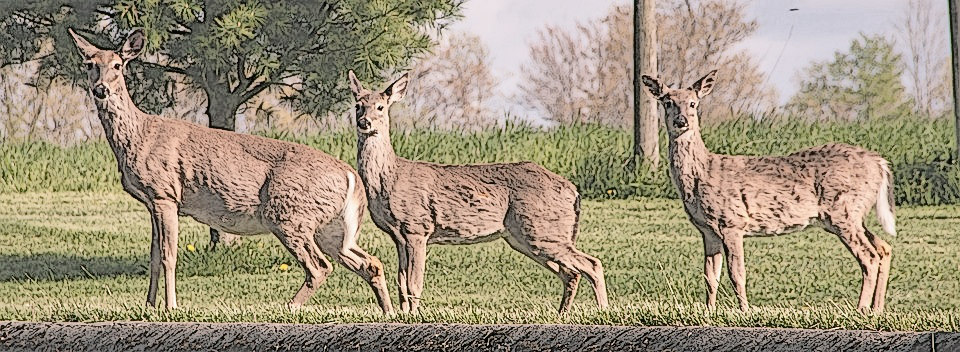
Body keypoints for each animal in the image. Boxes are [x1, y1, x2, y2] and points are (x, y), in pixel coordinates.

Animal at [69, 28, 394, 314]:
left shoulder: (165, 193)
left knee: (320, 267)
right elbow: (153, 255)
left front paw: (171, 307)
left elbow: (168, 255)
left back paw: (288, 307)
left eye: (117, 64)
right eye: (89, 64)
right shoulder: (152, 202)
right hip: (331, 227)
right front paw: (148, 306)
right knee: (370, 262)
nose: (101, 89)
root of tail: (352, 178)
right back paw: (389, 311)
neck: (139, 135)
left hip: (289, 214)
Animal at [348, 71, 612, 314]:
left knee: (592, 264)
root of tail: (573, 191)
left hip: (541, 229)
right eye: (358, 105)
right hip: (526, 237)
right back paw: (562, 313)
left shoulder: (417, 227)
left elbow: (414, 283)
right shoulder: (398, 236)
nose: (365, 122)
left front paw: (413, 315)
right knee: (571, 273)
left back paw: (603, 310)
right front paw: (403, 315)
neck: (390, 178)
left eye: (381, 107)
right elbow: (401, 283)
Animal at [640, 70, 896, 312]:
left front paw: (744, 310)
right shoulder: (707, 230)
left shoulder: (732, 222)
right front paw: (709, 311)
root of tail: (880, 163)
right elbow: (710, 276)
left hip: (843, 210)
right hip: (852, 214)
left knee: (869, 256)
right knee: (884, 248)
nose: (681, 121)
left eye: (693, 103)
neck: (701, 174)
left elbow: (737, 274)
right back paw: (876, 309)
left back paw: (861, 309)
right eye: (668, 102)